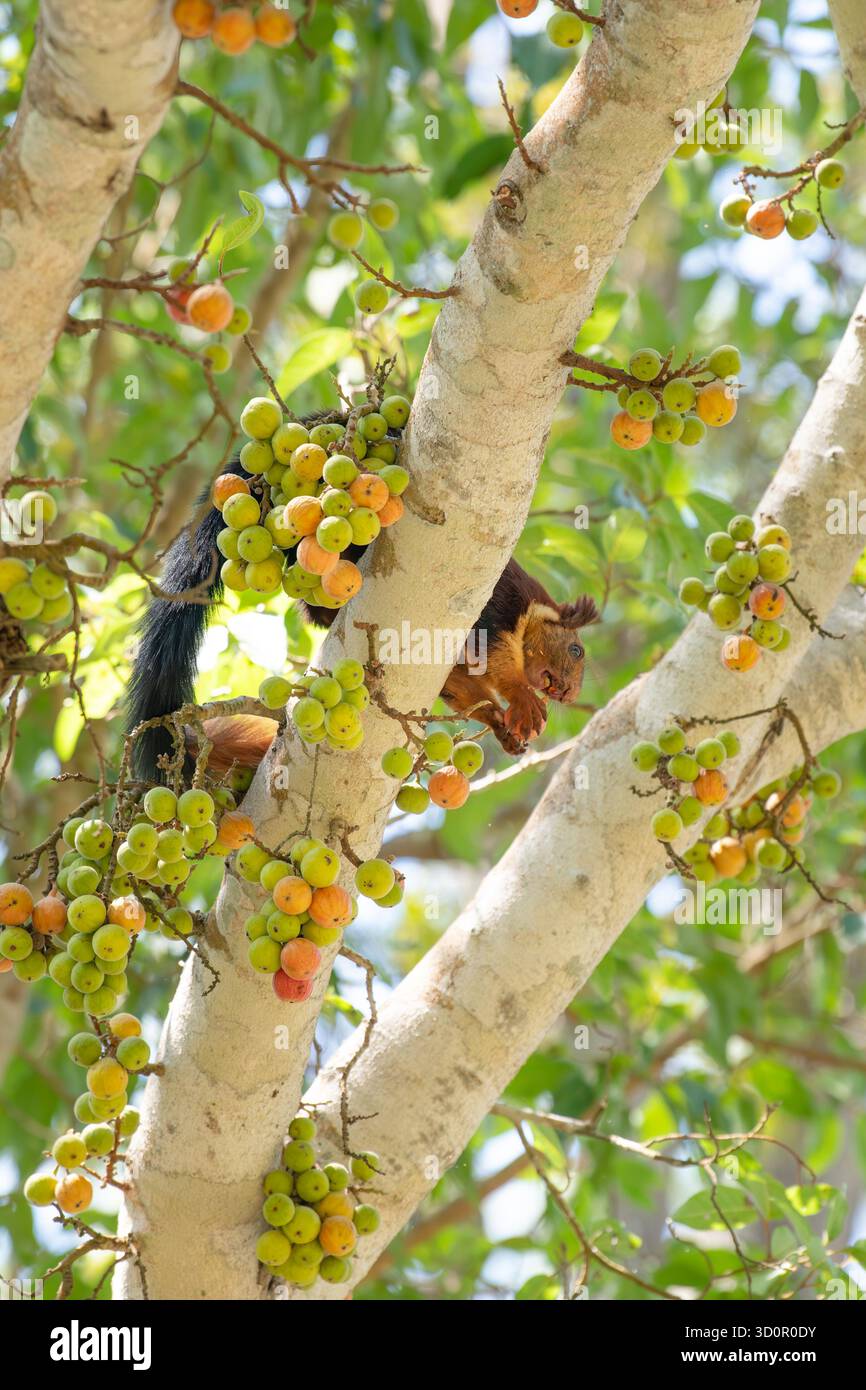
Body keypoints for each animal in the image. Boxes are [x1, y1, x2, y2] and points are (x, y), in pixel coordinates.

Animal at [128, 459, 600, 778]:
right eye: (576, 650)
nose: (569, 693)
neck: (531, 617)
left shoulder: (455, 671)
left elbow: (468, 695)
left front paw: (502, 727)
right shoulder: (501, 611)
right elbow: (498, 660)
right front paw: (522, 701)